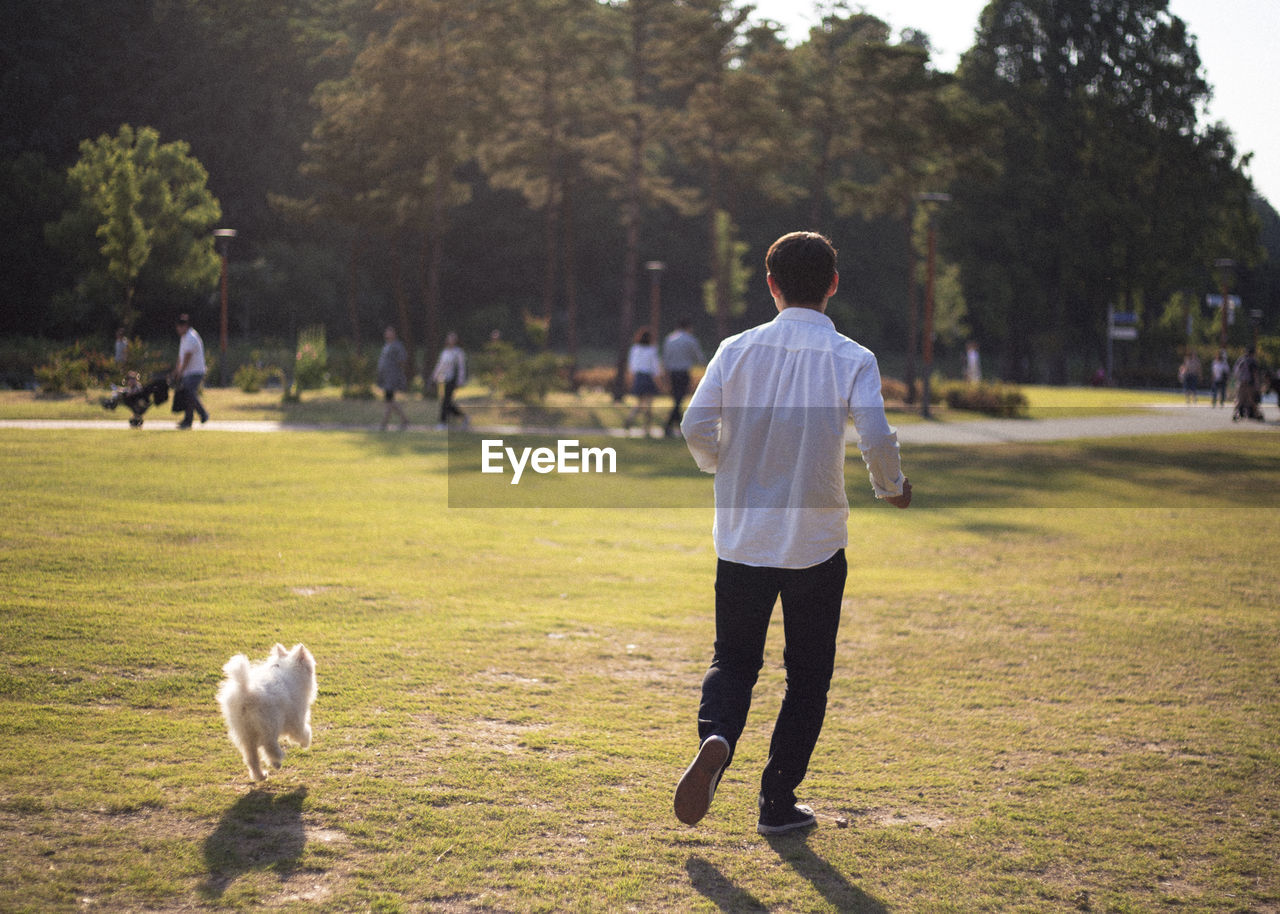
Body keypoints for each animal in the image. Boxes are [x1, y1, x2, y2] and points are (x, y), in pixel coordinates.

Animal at [217, 640, 317, 778]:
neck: (287, 669)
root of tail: (246, 691)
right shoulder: (297, 718)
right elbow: (302, 732)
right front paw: (305, 742)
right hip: (270, 724)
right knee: (269, 745)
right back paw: (277, 760)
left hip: (244, 731)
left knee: (251, 756)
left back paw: (260, 775)